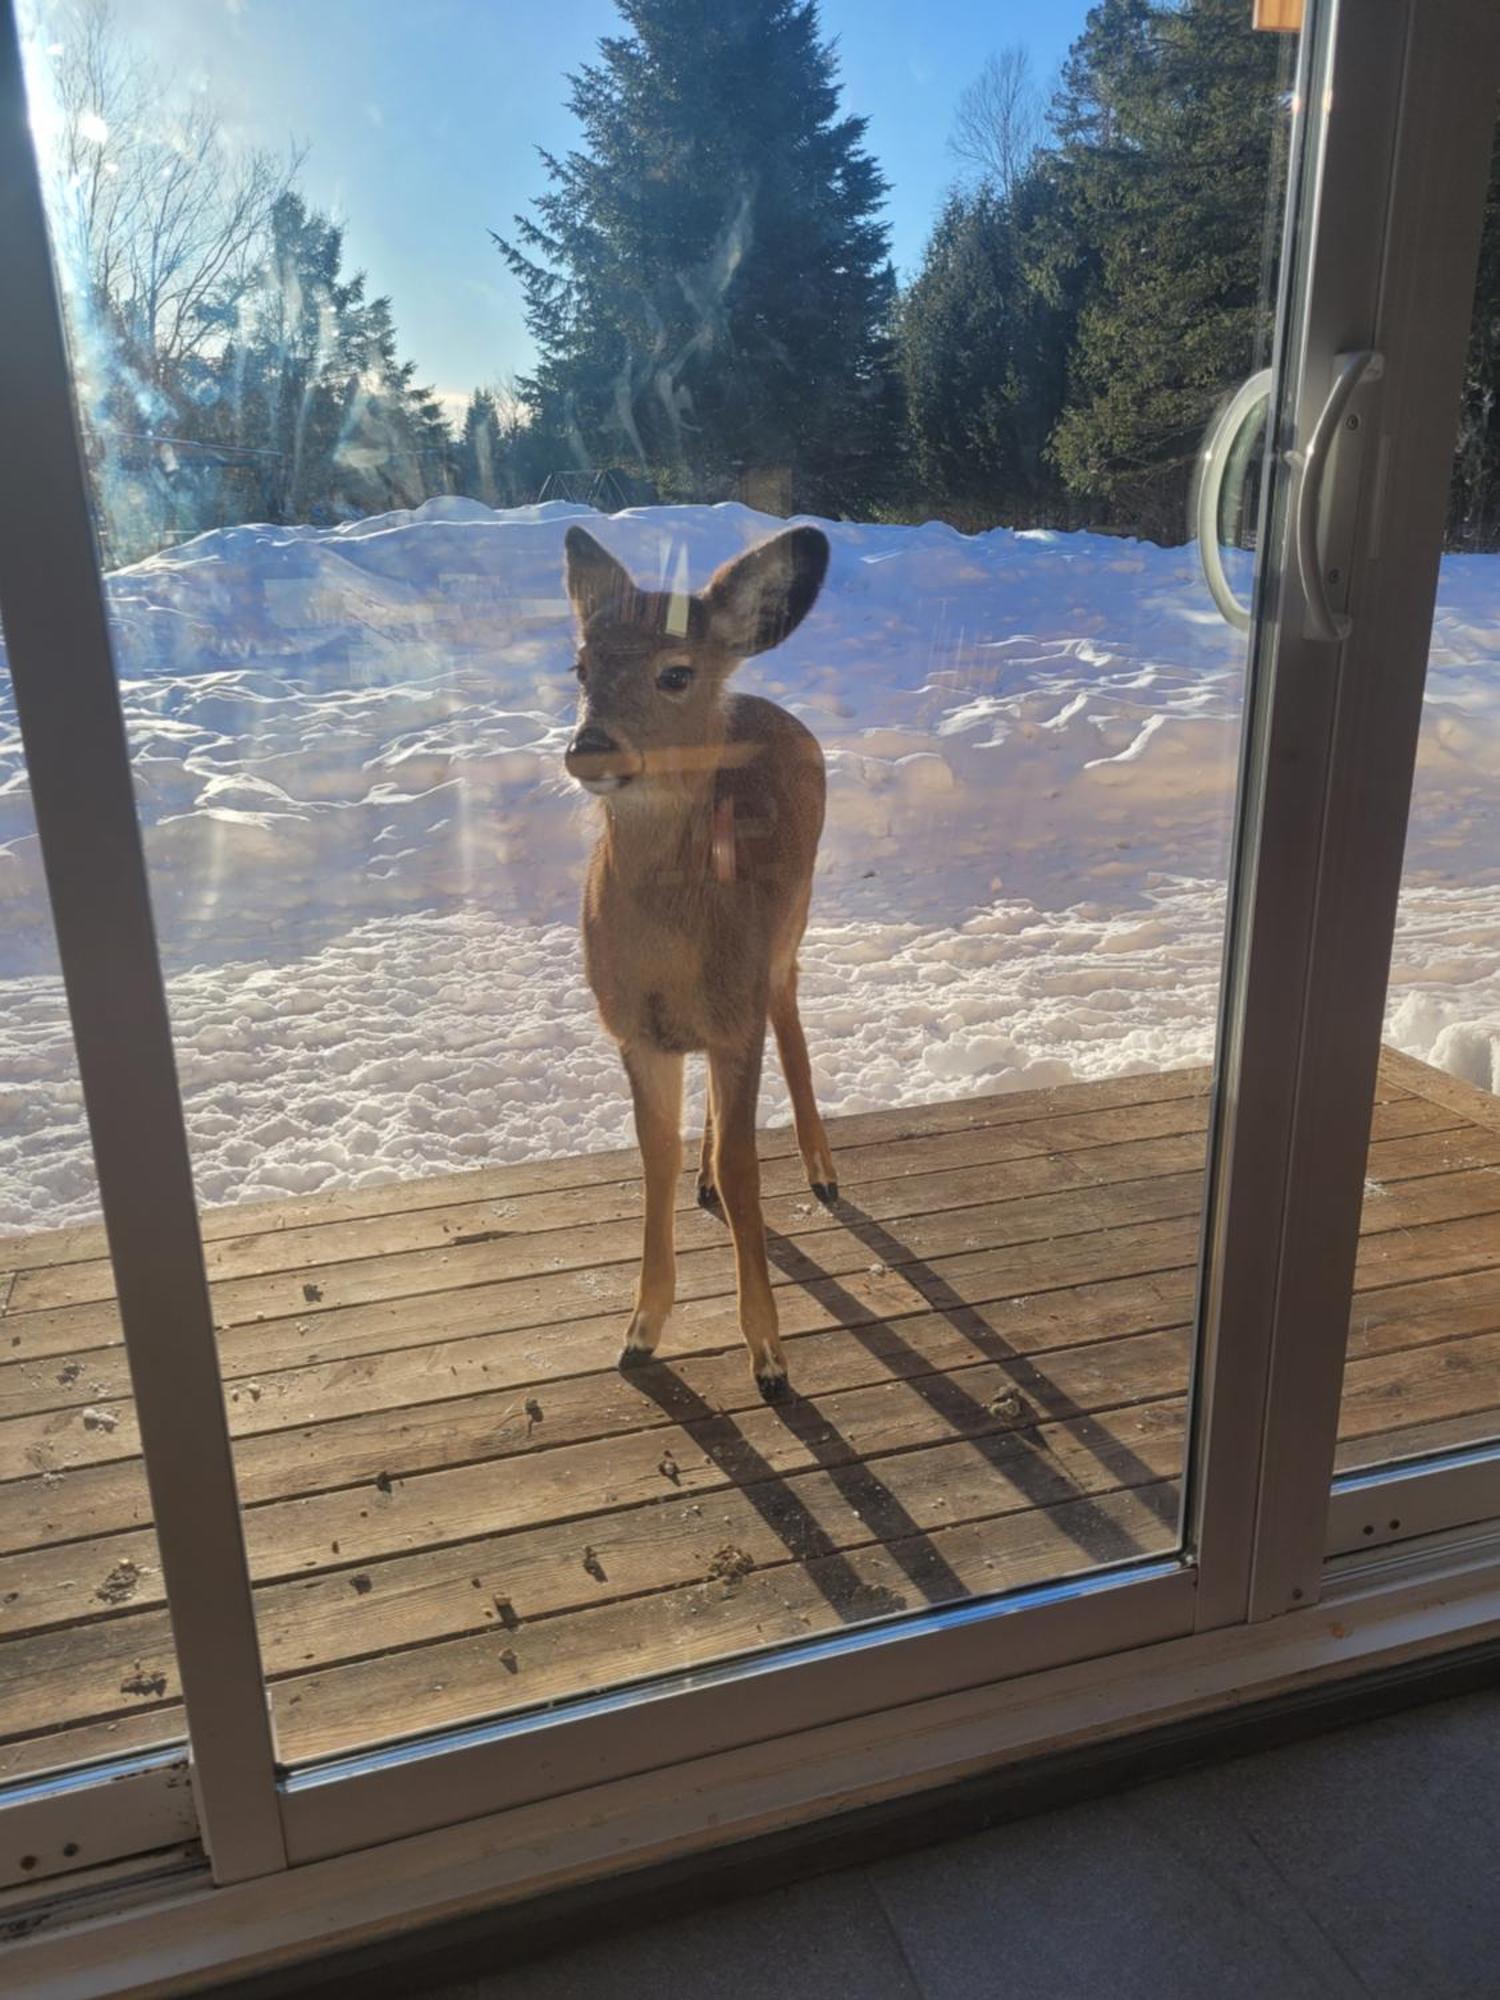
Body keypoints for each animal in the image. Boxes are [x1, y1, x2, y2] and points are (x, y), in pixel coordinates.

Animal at [564, 524, 840, 1400]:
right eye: (580, 666)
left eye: (675, 672)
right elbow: (659, 1156)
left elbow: (748, 1165)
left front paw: (770, 1355)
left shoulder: (736, 1017)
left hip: (793, 922)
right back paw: (710, 1185)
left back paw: (823, 1168)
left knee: (792, 1010)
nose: (589, 748)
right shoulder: (633, 1030)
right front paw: (640, 1332)